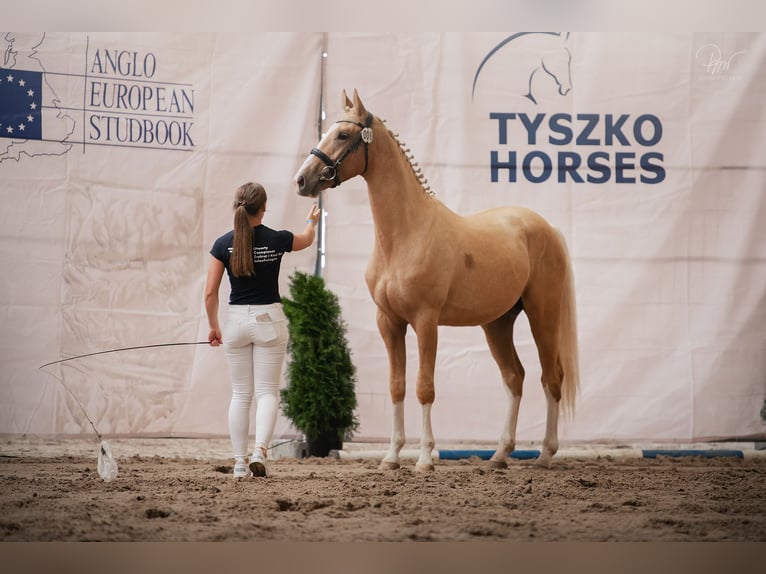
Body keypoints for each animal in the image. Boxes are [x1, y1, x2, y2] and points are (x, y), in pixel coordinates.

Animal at [296, 88, 584, 470]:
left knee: (551, 377)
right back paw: (499, 455)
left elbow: (424, 387)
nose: (302, 180)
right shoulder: (389, 322)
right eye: (327, 130)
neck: (405, 235)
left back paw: (545, 455)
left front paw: (424, 459)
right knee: (514, 378)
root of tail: (547, 228)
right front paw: (391, 457)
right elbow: (397, 385)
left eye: (343, 134)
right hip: (497, 323)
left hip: (543, 315)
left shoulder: (425, 320)